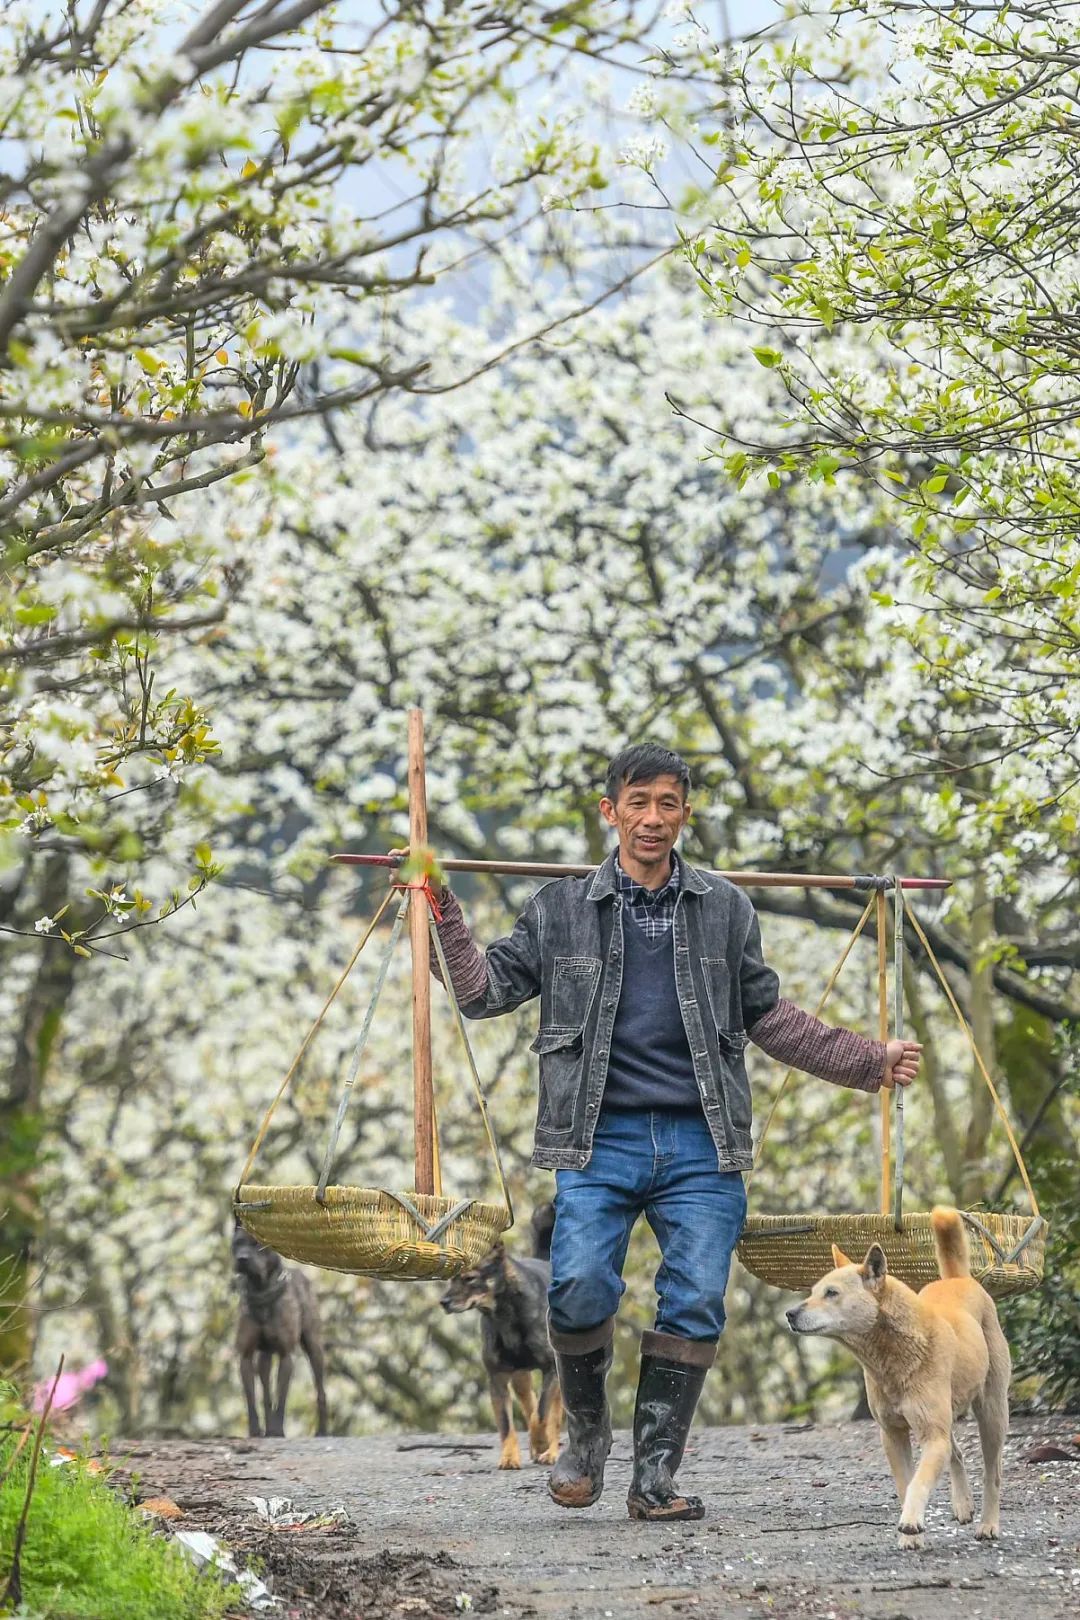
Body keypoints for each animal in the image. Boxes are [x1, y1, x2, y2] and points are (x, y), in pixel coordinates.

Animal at [229, 1218, 327, 1438]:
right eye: (237, 1243)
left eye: (257, 1244)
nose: (242, 1259)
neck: (261, 1290)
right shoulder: (245, 1356)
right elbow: (251, 1400)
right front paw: (255, 1431)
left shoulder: (285, 1355)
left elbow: (281, 1399)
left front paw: (278, 1430)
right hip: (264, 1356)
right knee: (265, 1390)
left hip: (313, 1346)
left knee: (320, 1390)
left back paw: (323, 1430)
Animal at [440, 1205, 563, 1470]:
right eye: (451, 1278)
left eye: (470, 1278)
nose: (443, 1302)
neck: (505, 1316)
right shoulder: (497, 1378)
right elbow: (508, 1425)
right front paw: (509, 1457)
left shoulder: (551, 1370)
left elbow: (542, 1414)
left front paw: (541, 1443)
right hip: (520, 1378)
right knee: (529, 1404)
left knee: (552, 1414)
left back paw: (549, 1451)